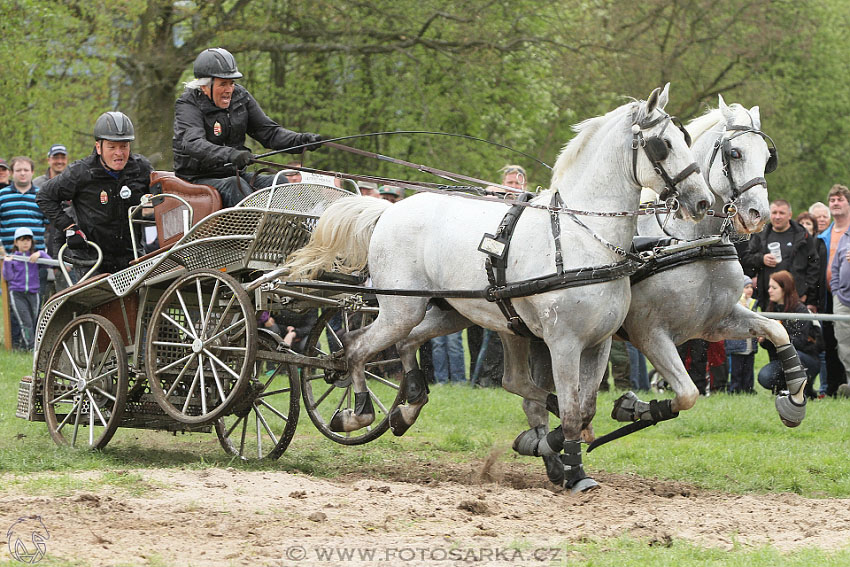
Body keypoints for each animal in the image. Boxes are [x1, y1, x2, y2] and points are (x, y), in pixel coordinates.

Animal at [284, 84, 708, 492]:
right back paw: (358, 413)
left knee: (417, 347)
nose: (702, 201)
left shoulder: (599, 343)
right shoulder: (563, 343)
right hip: (402, 309)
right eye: (664, 144)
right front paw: (575, 475)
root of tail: (389, 210)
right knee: (356, 348)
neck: (581, 237)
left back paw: (409, 406)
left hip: (454, 312)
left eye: (686, 137)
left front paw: (561, 450)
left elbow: (584, 409)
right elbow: (572, 411)